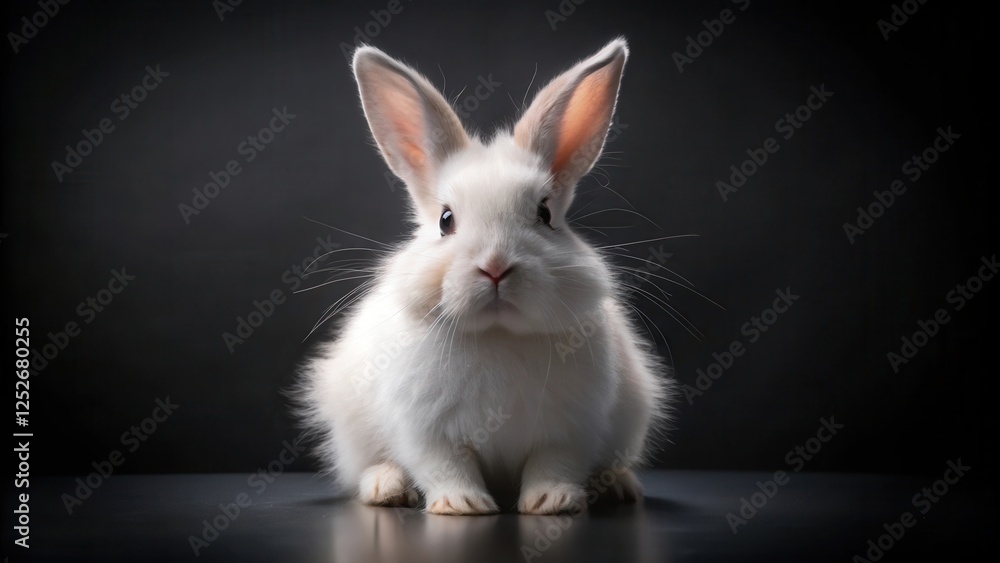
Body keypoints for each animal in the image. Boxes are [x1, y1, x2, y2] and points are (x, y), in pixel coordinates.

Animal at [296, 37, 674, 515]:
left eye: (545, 214)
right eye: (445, 220)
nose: (495, 266)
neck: (498, 333)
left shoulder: (572, 428)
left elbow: (554, 463)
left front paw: (551, 502)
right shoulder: (425, 431)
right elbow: (445, 465)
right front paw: (462, 505)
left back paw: (617, 486)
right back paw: (386, 487)